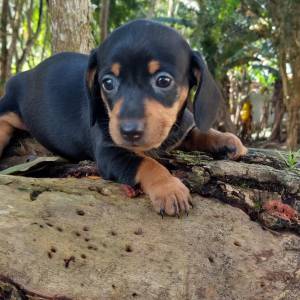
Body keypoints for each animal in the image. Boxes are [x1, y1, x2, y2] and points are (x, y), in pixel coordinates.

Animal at [0, 19, 246, 216]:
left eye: (164, 81)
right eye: (107, 83)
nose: (129, 132)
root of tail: (25, 74)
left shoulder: (179, 128)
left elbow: (199, 132)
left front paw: (227, 141)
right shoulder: (110, 153)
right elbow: (147, 163)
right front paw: (169, 188)